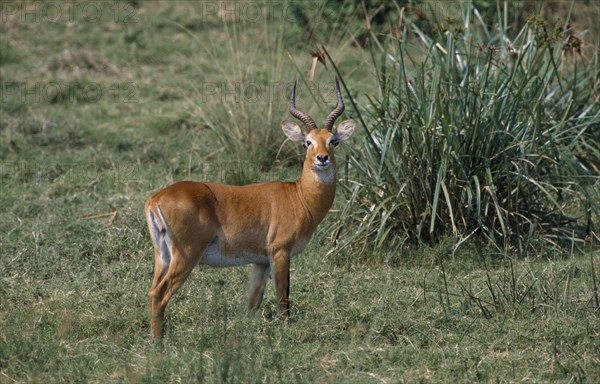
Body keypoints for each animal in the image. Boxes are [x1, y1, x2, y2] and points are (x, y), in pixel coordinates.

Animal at [145, 78, 354, 336]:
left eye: (333, 141)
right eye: (308, 142)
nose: (322, 158)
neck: (299, 196)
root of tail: (157, 198)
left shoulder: (260, 261)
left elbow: (253, 303)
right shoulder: (280, 252)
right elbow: (283, 296)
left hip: (163, 256)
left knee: (152, 290)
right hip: (186, 255)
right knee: (160, 293)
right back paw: (159, 340)